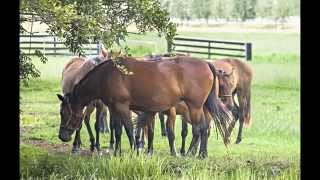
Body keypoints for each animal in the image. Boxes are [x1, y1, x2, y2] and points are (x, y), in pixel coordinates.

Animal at [57, 55, 232, 158]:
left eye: (65, 113)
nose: (62, 136)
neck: (107, 75)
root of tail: (206, 63)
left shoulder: (122, 107)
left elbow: (129, 129)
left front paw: (134, 151)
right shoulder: (114, 108)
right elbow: (118, 130)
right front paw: (118, 152)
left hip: (195, 106)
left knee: (199, 129)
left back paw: (190, 154)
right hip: (201, 108)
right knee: (204, 129)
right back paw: (202, 154)